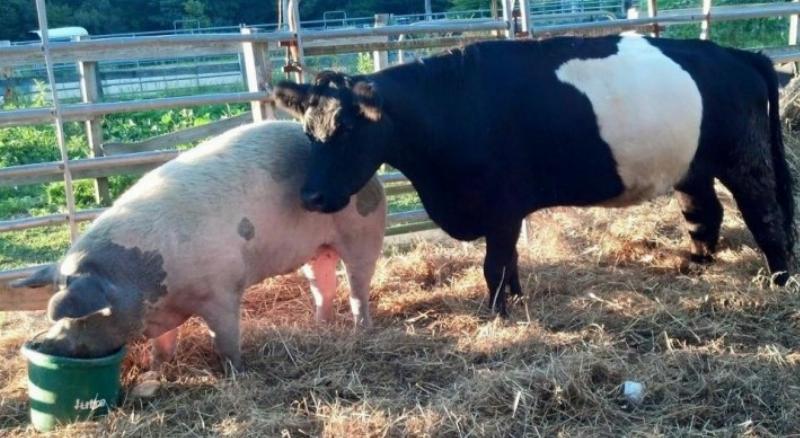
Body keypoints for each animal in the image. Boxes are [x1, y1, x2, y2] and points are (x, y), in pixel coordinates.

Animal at [12, 120, 386, 371]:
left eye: (80, 317)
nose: (39, 343)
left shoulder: (221, 290)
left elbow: (225, 337)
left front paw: (237, 372)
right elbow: (163, 344)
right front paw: (156, 369)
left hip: (364, 231)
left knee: (358, 285)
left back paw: (361, 330)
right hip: (316, 249)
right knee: (324, 284)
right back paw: (320, 326)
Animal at [273, 34, 795, 317]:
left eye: (346, 129)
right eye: (308, 130)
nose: (311, 196)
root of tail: (737, 54)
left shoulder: (500, 206)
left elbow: (495, 265)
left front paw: (498, 313)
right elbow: (510, 263)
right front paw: (517, 302)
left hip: (744, 158)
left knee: (765, 215)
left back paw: (780, 280)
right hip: (690, 165)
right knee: (703, 212)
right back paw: (697, 263)